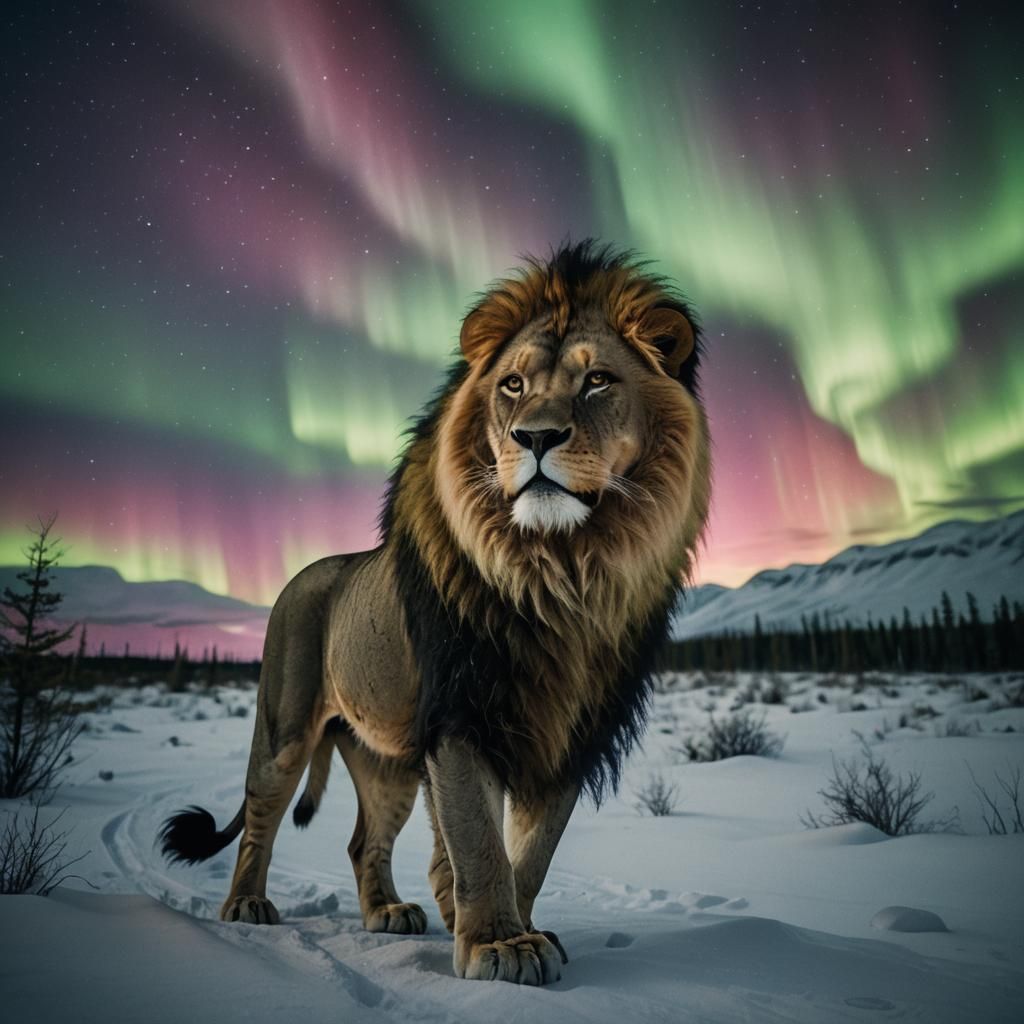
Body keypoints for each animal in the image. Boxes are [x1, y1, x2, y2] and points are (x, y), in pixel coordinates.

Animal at [160, 240, 711, 986]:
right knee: (259, 818)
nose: (534, 436)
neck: (563, 573)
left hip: (386, 760)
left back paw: (389, 913)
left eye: (597, 380)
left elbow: (530, 852)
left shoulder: (569, 731)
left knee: (363, 840)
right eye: (513, 385)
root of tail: (305, 574)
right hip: (283, 727)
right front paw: (499, 946)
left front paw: (506, 926)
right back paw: (246, 906)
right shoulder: (462, 712)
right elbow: (477, 838)